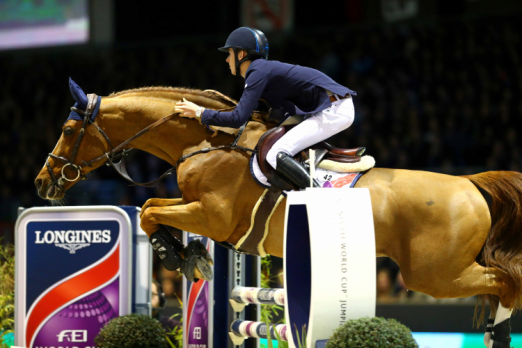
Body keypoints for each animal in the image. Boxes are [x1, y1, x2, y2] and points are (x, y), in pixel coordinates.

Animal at [35, 85, 520, 346]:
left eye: (67, 129)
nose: (43, 183)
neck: (205, 141)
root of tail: (469, 182)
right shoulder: (204, 216)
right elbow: (155, 211)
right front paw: (191, 256)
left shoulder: (212, 217)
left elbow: (152, 211)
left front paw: (179, 256)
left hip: (434, 275)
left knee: (505, 280)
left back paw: (499, 334)